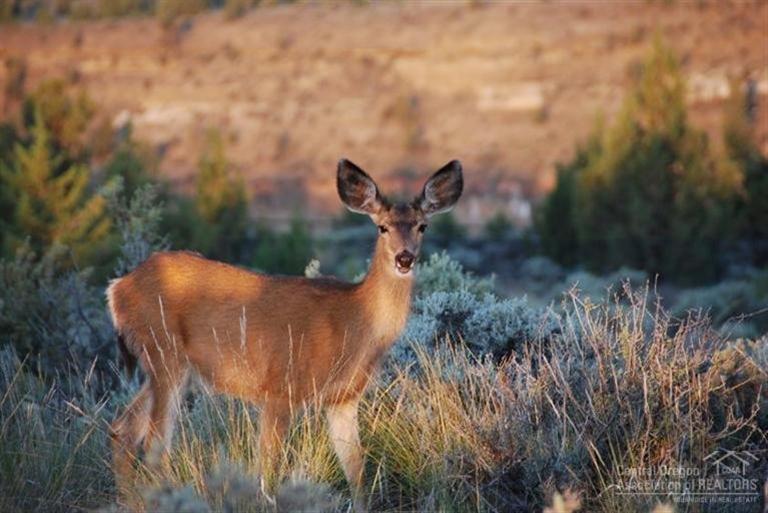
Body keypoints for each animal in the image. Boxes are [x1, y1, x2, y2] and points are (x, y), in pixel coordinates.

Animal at [107, 158, 463, 512]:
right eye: (382, 227)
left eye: (422, 226)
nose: (405, 258)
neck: (354, 321)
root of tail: (117, 288)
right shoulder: (280, 386)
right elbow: (267, 469)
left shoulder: (343, 397)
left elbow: (356, 471)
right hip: (164, 353)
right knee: (154, 444)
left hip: (165, 367)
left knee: (122, 429)